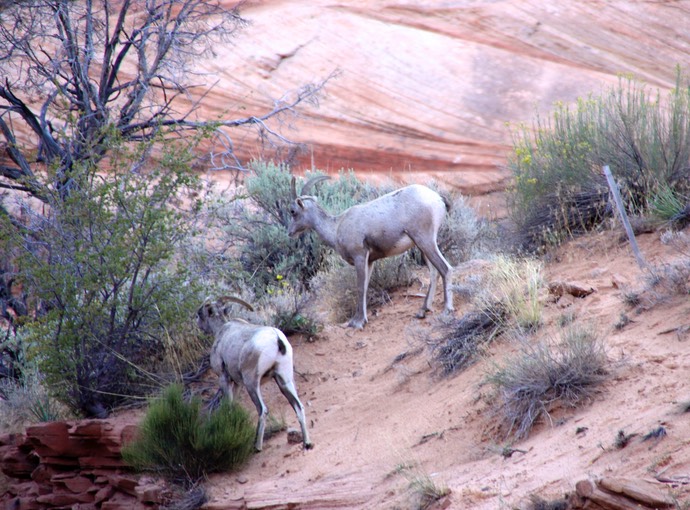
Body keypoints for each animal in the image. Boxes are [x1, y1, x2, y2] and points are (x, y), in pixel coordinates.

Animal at [194, 296, 312, 452]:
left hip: (252, 383)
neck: (222, 330)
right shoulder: (237, 383)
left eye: (200, 314)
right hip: (284, 380)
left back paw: (257, 446)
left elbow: (229, 406)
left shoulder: (224, 378)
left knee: (262, 410)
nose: (198, 324)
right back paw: (307, 443)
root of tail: (276, 339)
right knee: (298, 407)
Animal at [284, 175, 452, 328]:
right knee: (434, 273)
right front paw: (361, 319)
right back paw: (422, 311)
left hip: (425, 241)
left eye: (292, 211)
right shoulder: (369, 261)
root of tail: (437, 198)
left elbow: (359, 287)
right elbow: (365, 287)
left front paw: (357, 322)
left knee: (445, 269)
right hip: (423, 245)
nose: (290, 232)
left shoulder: (360, 257)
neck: (336, 227)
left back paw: (447, 310)